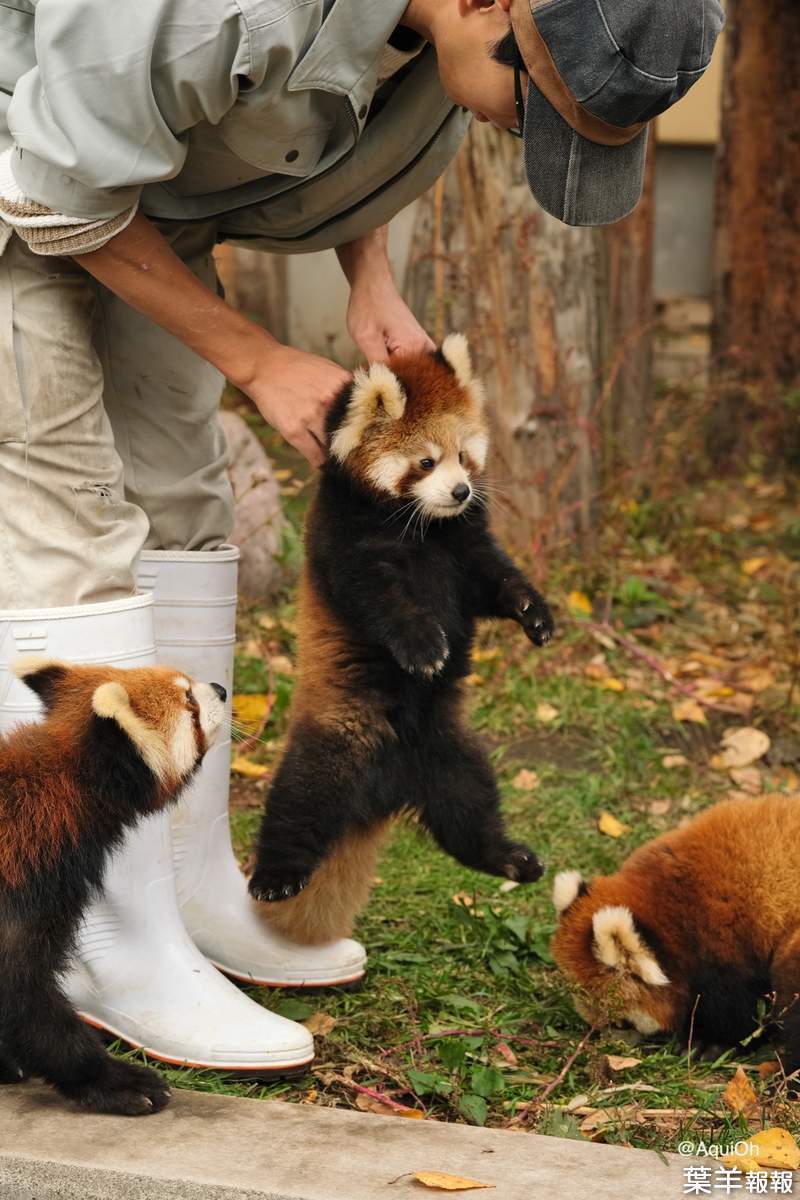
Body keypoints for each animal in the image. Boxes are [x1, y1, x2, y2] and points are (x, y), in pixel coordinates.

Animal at [250, 336, 556, 936]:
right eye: (426, 462)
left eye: (464, 455)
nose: (460, 491)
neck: (421, 528)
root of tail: (387, 789)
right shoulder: (343, 543)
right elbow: (380, 601)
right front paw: (423, 648)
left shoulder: (466, 545)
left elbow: (496, 582)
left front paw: (534, 614)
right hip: (336, 742)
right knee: (300, 799)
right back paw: (275, 875)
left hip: (453, 749)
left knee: (469, 808)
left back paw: (508, 857)